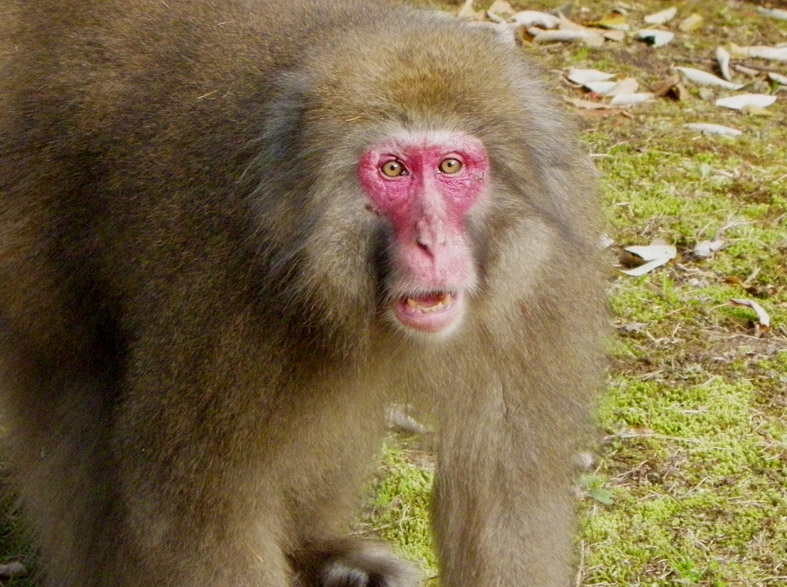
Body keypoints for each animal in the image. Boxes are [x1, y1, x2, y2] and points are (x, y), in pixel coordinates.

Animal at [0, 0, 608, 584]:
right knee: (76, 385)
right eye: (394, 170)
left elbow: (502, 495)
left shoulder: (536, 283)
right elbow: (198, 512)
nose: (432, 241)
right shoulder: (222, 290)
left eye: (451, 165)